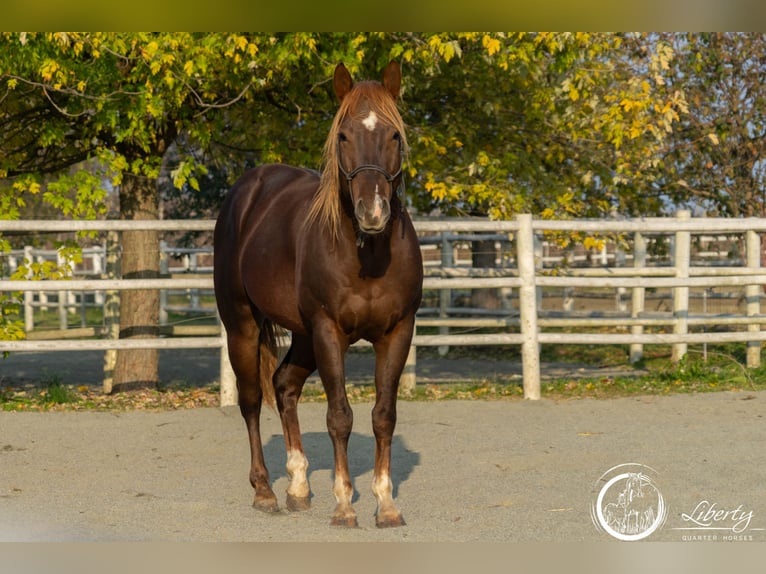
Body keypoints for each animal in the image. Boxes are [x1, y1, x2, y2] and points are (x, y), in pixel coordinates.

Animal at [213, 63, 424, 532]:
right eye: (343, 135)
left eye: (394, 135)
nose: (372, 211)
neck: (367, 252)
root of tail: (249, 188)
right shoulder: (329, 332)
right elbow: (339, 416)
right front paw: (345, 505)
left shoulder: (397, 333)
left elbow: (384, 416)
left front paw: (386, 505)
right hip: (243, 326)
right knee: (252, 400)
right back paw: (265, 490)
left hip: (303, 335)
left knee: (284, 386)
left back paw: (298, 485)